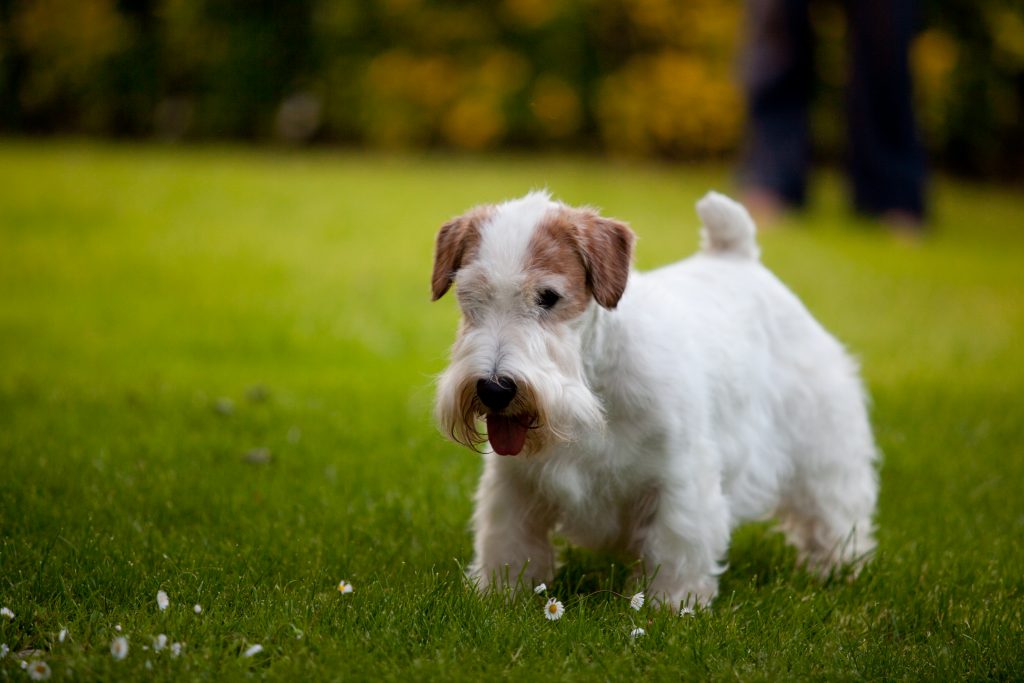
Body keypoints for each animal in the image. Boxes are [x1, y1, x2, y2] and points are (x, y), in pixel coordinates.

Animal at [428, 191, 876, 610]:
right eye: (470, 297)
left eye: (549, 297)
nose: (495, 389)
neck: (593, 383)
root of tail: (738, 256)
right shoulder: (515, 483)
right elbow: (509, 542)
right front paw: (500, 595)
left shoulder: (680, 478)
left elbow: (675, 545)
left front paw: (670, 605)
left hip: (822, 443)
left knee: (835, 507)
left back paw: (839, 567)